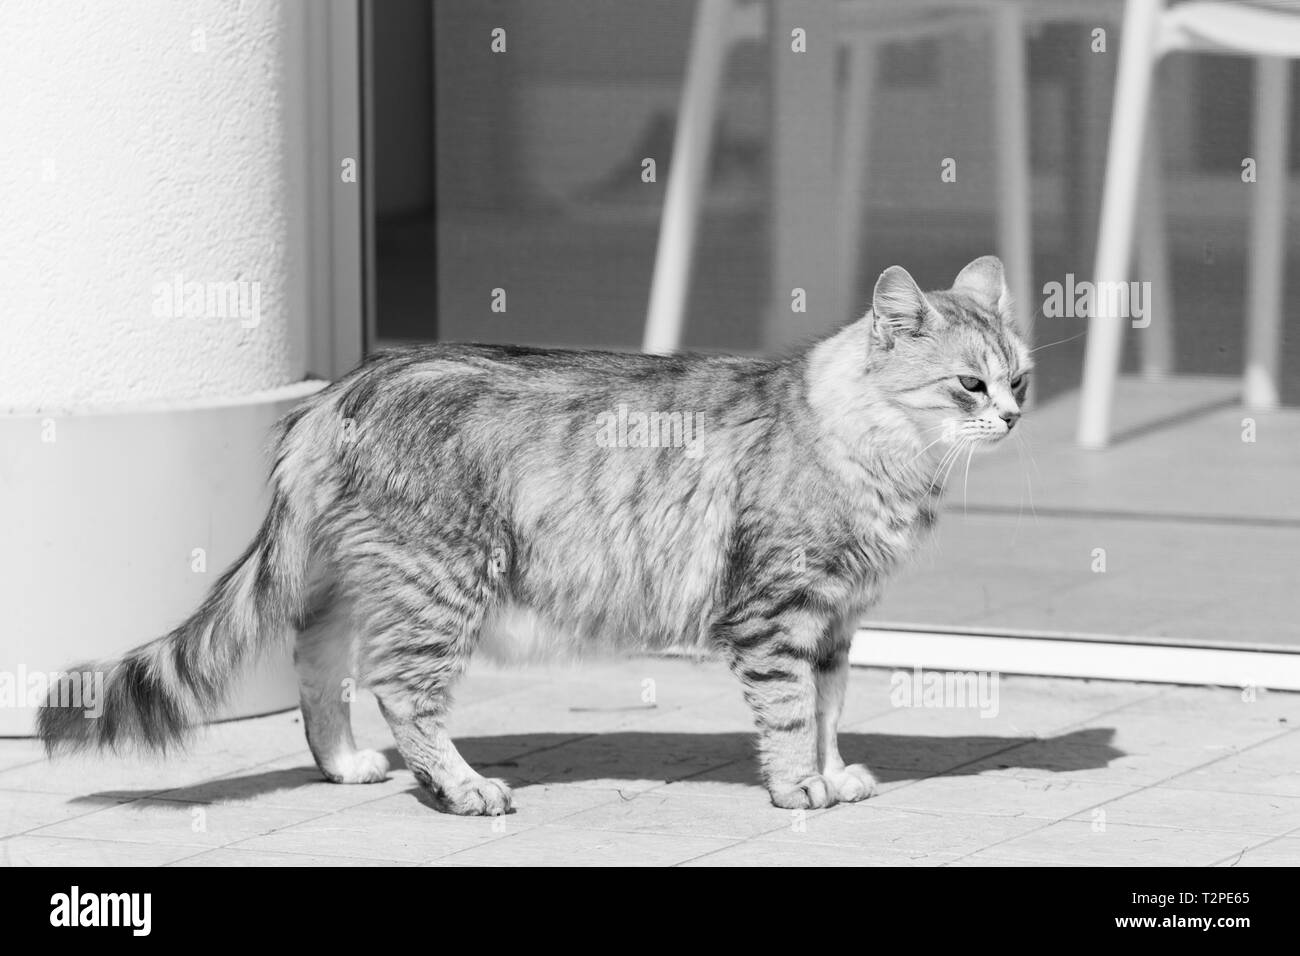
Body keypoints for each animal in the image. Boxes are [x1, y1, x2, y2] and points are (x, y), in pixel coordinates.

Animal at [43, 254, 1034, 816]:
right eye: (968, 385)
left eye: (1019, 377)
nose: (1018, 419)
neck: (873, 449)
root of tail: (347, 385)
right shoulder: (775, 613)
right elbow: (791, 716)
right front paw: (800, 790)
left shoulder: (835, 621)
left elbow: (829, 713)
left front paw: (836, 773)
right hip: (442, 578)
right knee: (403, 691)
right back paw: (461, 788)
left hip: (356, 582)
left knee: (319, 667)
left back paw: (349, 766)